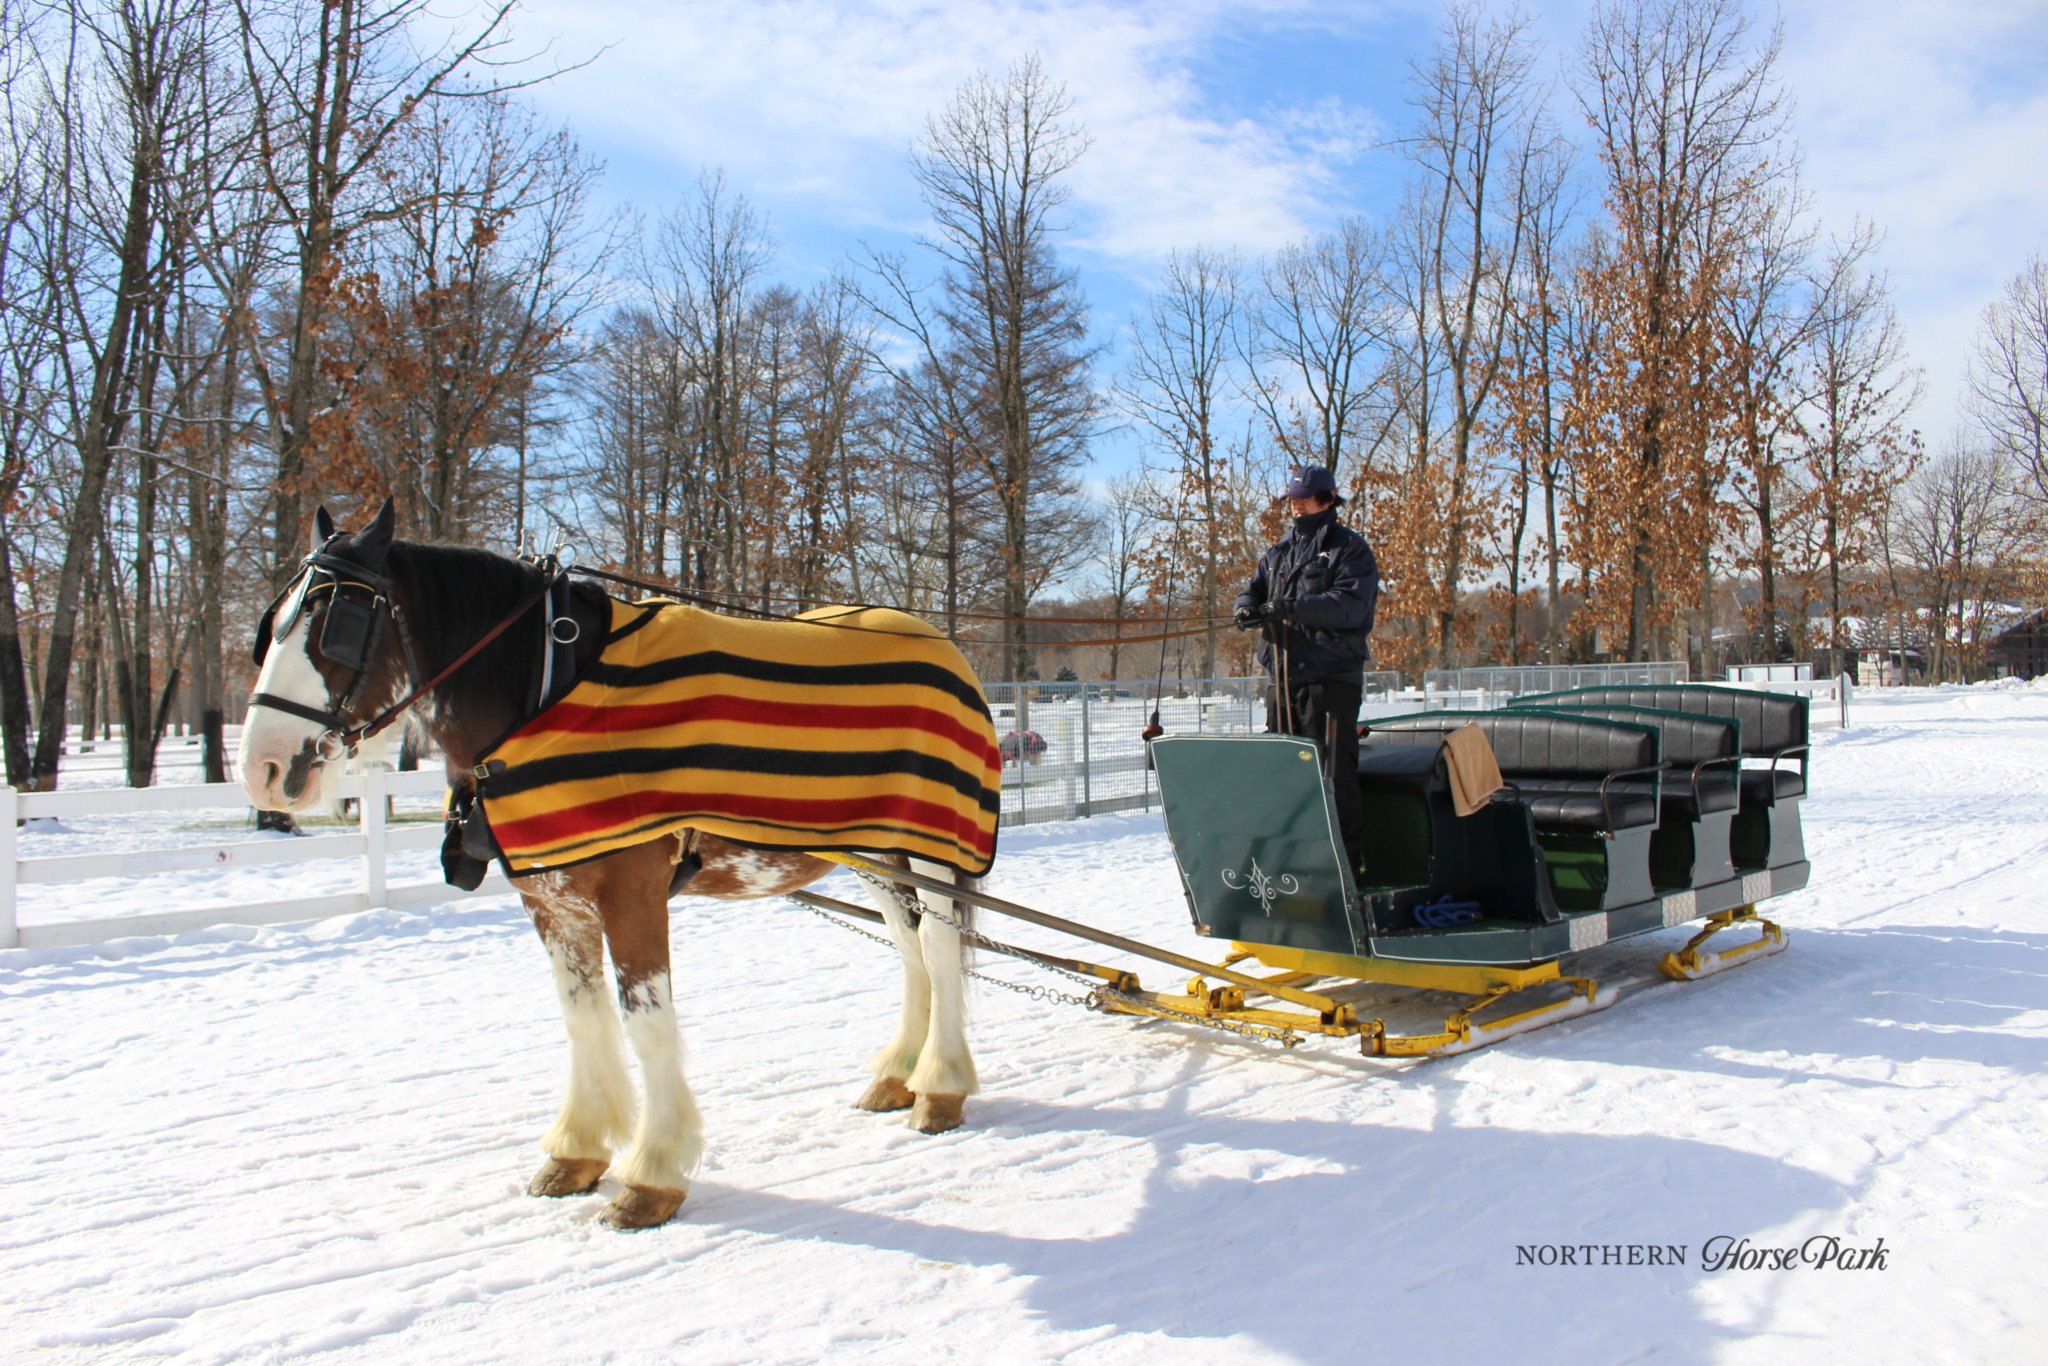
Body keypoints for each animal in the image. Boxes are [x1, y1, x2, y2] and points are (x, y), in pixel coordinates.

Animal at [237, 500, 998, 1229]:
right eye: (272, 625)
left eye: (336, 623)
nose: (264, 771)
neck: (545, 694)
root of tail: (942, 646)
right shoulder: (552, 897)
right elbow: (583, 1016)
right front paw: (577, 1151)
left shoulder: (634, 895)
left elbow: (646, 1024)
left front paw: (651, 1174)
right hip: (874, 851)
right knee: (910, 951)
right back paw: (899, 1074)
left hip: (933, 846)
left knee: (937, 947)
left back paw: (939, 1088)